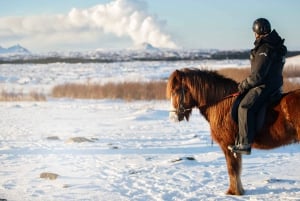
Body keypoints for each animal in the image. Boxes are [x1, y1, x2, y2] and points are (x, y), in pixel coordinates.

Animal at [166, 68, 300, 196]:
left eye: (176, 91)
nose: (172, 117)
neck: (221, 104)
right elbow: (236, 168)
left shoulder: (227, 145)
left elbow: (232, 169)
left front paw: (233, 192)